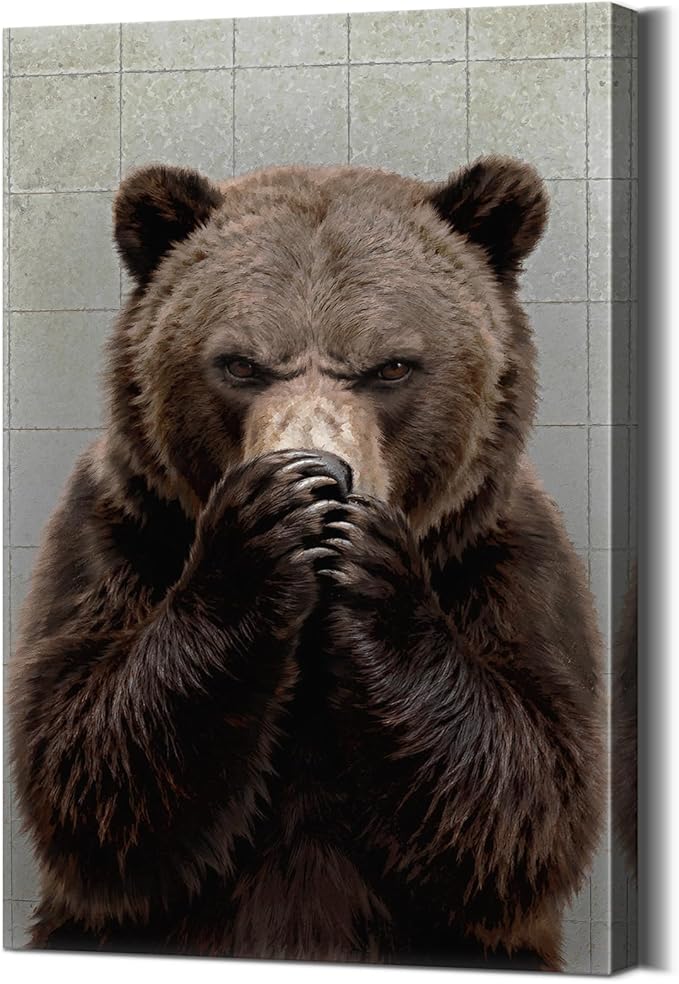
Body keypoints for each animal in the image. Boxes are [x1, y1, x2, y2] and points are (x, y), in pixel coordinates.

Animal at [8, 156, 604, 971]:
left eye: (391, 366)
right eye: (240, 364)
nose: (322, 473)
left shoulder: (508, 563)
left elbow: (528, 790)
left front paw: (369, 568)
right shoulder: (116, 538)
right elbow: (85, 762)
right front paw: (268, 525)